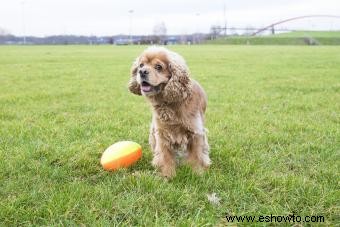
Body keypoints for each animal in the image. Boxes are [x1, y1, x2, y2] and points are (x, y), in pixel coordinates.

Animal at [129, 46, 211, 177]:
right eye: (141, 65)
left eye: (159, 67)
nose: (141, 72)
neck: (168, 103)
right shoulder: (162, 133)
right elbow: (165, 156)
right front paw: (168, 176)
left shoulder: (196, 132)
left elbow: (196, 155)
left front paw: (197, 174)